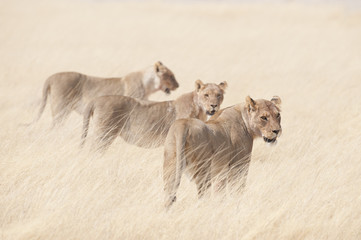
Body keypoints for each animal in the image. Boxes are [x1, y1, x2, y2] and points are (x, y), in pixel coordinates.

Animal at [80, 79, 226, 151]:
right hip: (104, 134)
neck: (199, 110)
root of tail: (96, 100)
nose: (214, 105)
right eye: (206, 95)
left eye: (219, 95)